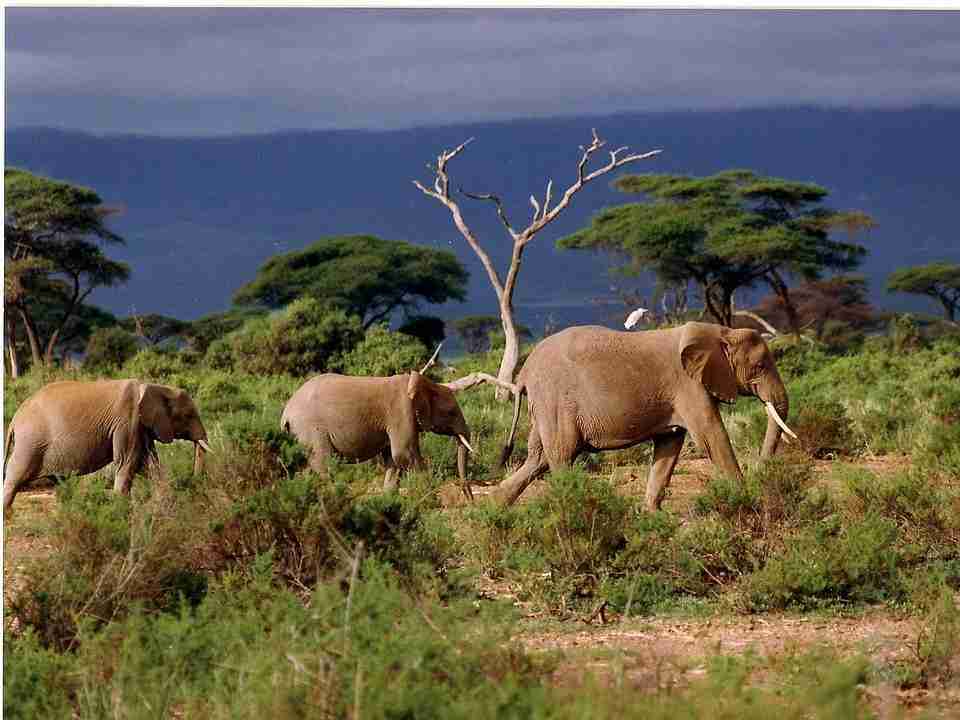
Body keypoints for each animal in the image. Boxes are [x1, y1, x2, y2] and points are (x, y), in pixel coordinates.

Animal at [1, 376, 212, 512]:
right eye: (188, 415)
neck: (154, 387)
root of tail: (14, 419)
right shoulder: (127, 421)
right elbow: (127, 461)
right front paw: (120, 508)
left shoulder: (140, 427)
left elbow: (148, 463)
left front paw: (163, 502)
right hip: (31, 442)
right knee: (16, 474)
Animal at [282, 368, 476, 498]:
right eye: (451, 412)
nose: (469, 498)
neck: (423, 384)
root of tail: (286, 412)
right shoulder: (401, 412)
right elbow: (404, 454)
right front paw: (430, 498)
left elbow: (393, 460)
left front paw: (389, 499)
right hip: (311, 430)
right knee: (324, 465)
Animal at [496, 320, 796, 512]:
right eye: (760, 366)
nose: (761, 473)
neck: (722, 331)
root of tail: (523, 373)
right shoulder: (688, 385)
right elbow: (711, 437)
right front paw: (745, 498)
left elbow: (669, 445)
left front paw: (653, 514)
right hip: (556, 400)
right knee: (561, 454)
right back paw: (572, 504)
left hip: (547, 405)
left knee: (538, 458)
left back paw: (494, 510)